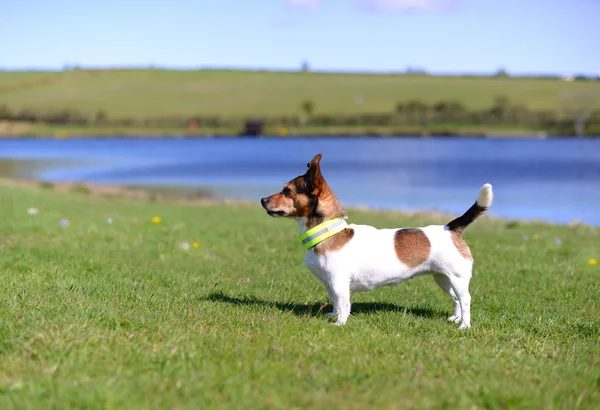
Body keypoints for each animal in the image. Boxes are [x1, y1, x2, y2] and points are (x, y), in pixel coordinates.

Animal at [262, 152, 492, 328]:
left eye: (286, 191)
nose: (262, 200)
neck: (329, 233)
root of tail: (451, 228)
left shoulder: (338, 283)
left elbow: (343, 304)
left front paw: (340, 324)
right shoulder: (330, 284)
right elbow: (335, 302)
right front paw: (333, 316)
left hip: (457, 278)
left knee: (465, 299)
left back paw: (464, 326)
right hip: (443, 278)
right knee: (456, 299)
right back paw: (455, 318)